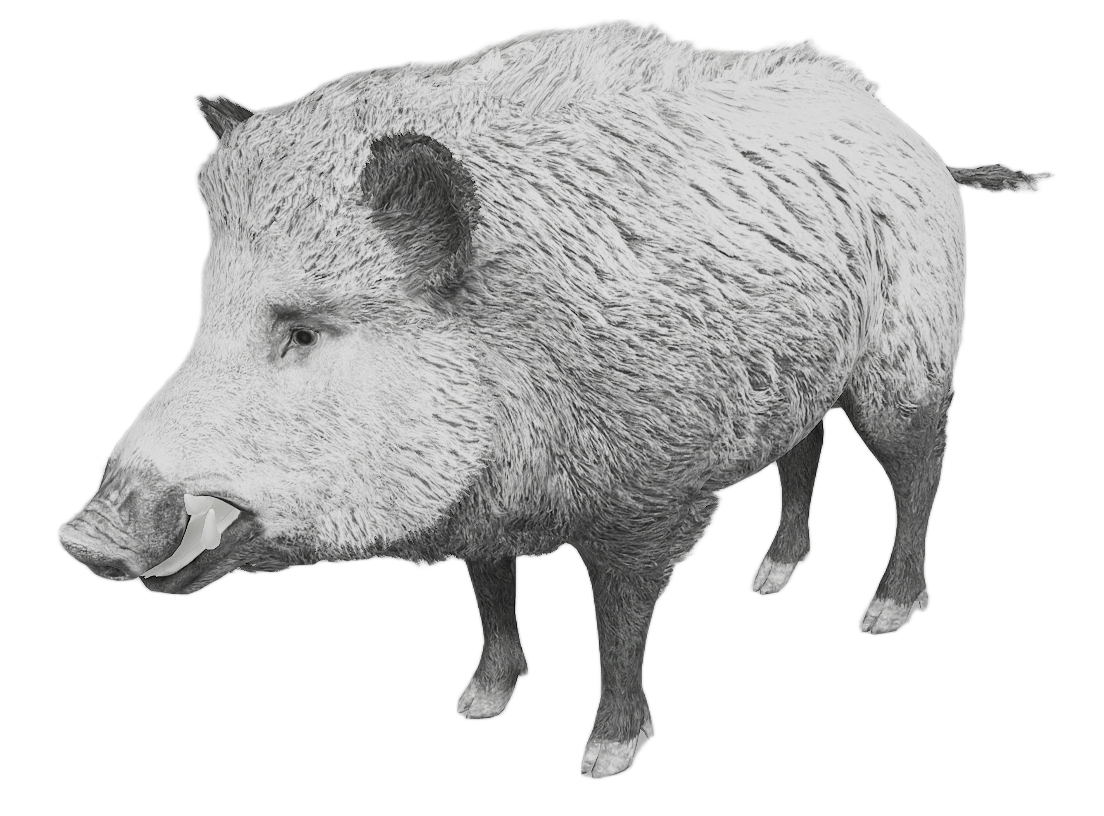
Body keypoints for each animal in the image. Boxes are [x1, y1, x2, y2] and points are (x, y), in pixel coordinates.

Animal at [55, 20, 1055, 779]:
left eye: (301, 330)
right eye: (203, 309)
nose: (80, 535)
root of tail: (908, 131)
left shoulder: (651, 495)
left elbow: (619, 622)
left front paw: (604, 757)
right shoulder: (485, 507)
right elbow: (491, 591)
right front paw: (477, 705)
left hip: (909, 358)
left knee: (919, 472)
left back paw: (885, 612)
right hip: (792, 378)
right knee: (803, 452)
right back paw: (769, 577)